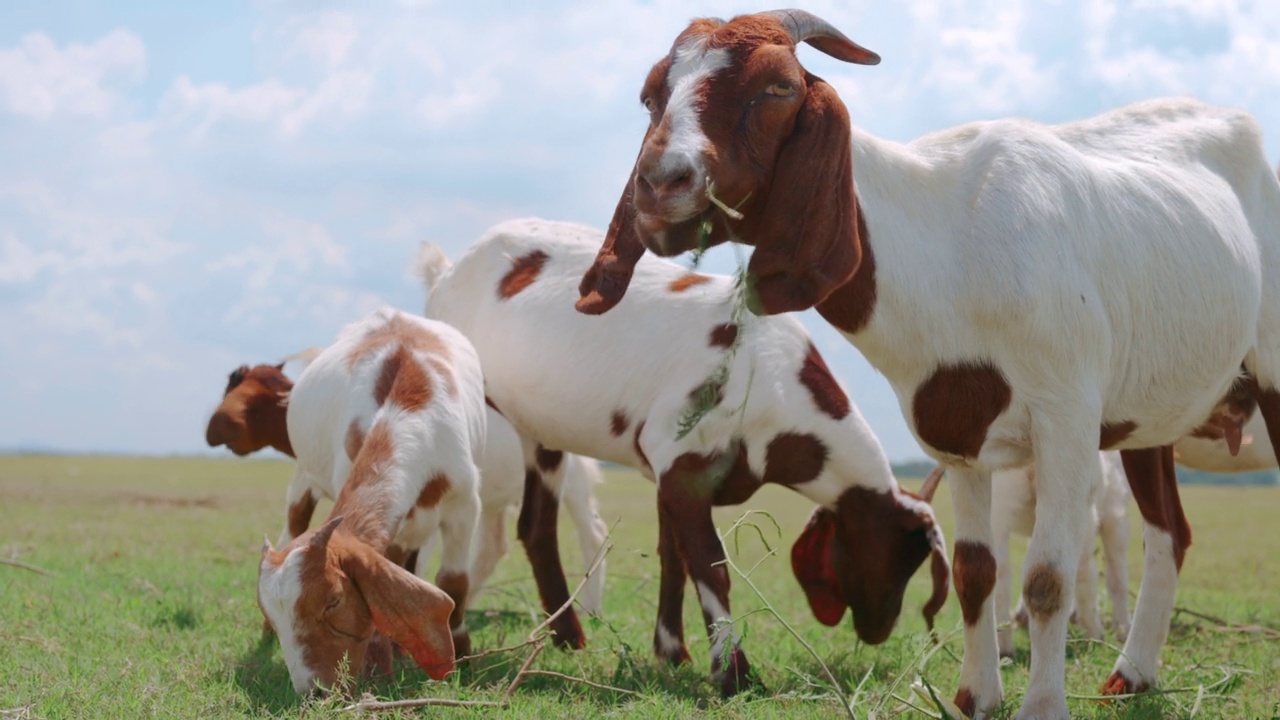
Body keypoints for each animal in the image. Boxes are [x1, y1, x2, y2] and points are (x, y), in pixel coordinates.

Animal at [254, 304, 483, 691]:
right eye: (269, 608)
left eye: (333, 601)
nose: (315, 691)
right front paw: (379, 669)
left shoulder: (464, 505)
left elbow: (455, 581)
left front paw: (461, 655)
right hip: (304, 474)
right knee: (293, 524)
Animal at [419, 217, 952, 696]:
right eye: (903, 554)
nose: (880, 629)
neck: (769, 375)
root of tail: (447, 271)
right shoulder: (682, 463)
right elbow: (711, 567)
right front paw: (733, 673)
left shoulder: (667, 471)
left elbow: (672, 557)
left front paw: (672, 652)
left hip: (541, 427)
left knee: (535, 525)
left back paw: (568, 638)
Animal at [576, 8, 1280, 712]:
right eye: (651, 95)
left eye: (778, 87)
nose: (662, 181)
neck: (946, 244)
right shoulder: (955, 428)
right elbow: (976, 573)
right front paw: (975, 698)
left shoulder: (1068, 420)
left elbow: (1046, 579)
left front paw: (1040, 707)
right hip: (1150, 417)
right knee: (1170, 533)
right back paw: (1132, 675)